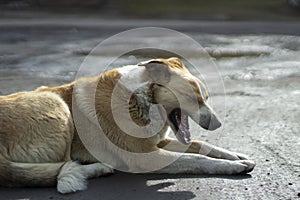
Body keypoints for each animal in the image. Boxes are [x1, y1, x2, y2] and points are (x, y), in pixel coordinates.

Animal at [0, 57, 255, 194]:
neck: (141, 97)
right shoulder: (144, 156)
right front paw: (234, 167)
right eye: (192, 98)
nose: (218, 123)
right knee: (60, 168)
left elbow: (202, 145)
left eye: (206, 97)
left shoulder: (158, 142)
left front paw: (236, 156)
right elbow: (196, 159)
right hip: (57, 104)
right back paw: (95, 168)